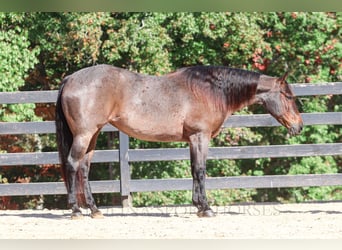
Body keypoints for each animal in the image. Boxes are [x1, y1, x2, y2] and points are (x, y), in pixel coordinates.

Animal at [54, 64, 304, 219]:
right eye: (288, 96)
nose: (299, 126)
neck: (210, 90)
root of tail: (70, 79)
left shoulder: (193, 139)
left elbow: (194, 170)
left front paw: (198, 206)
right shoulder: (200, 136)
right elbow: (201, 170)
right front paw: (206, 208)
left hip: (93, 135)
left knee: (84, 168)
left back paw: (94, 210)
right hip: (84, 134)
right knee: (73, 165)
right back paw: (76, 211)